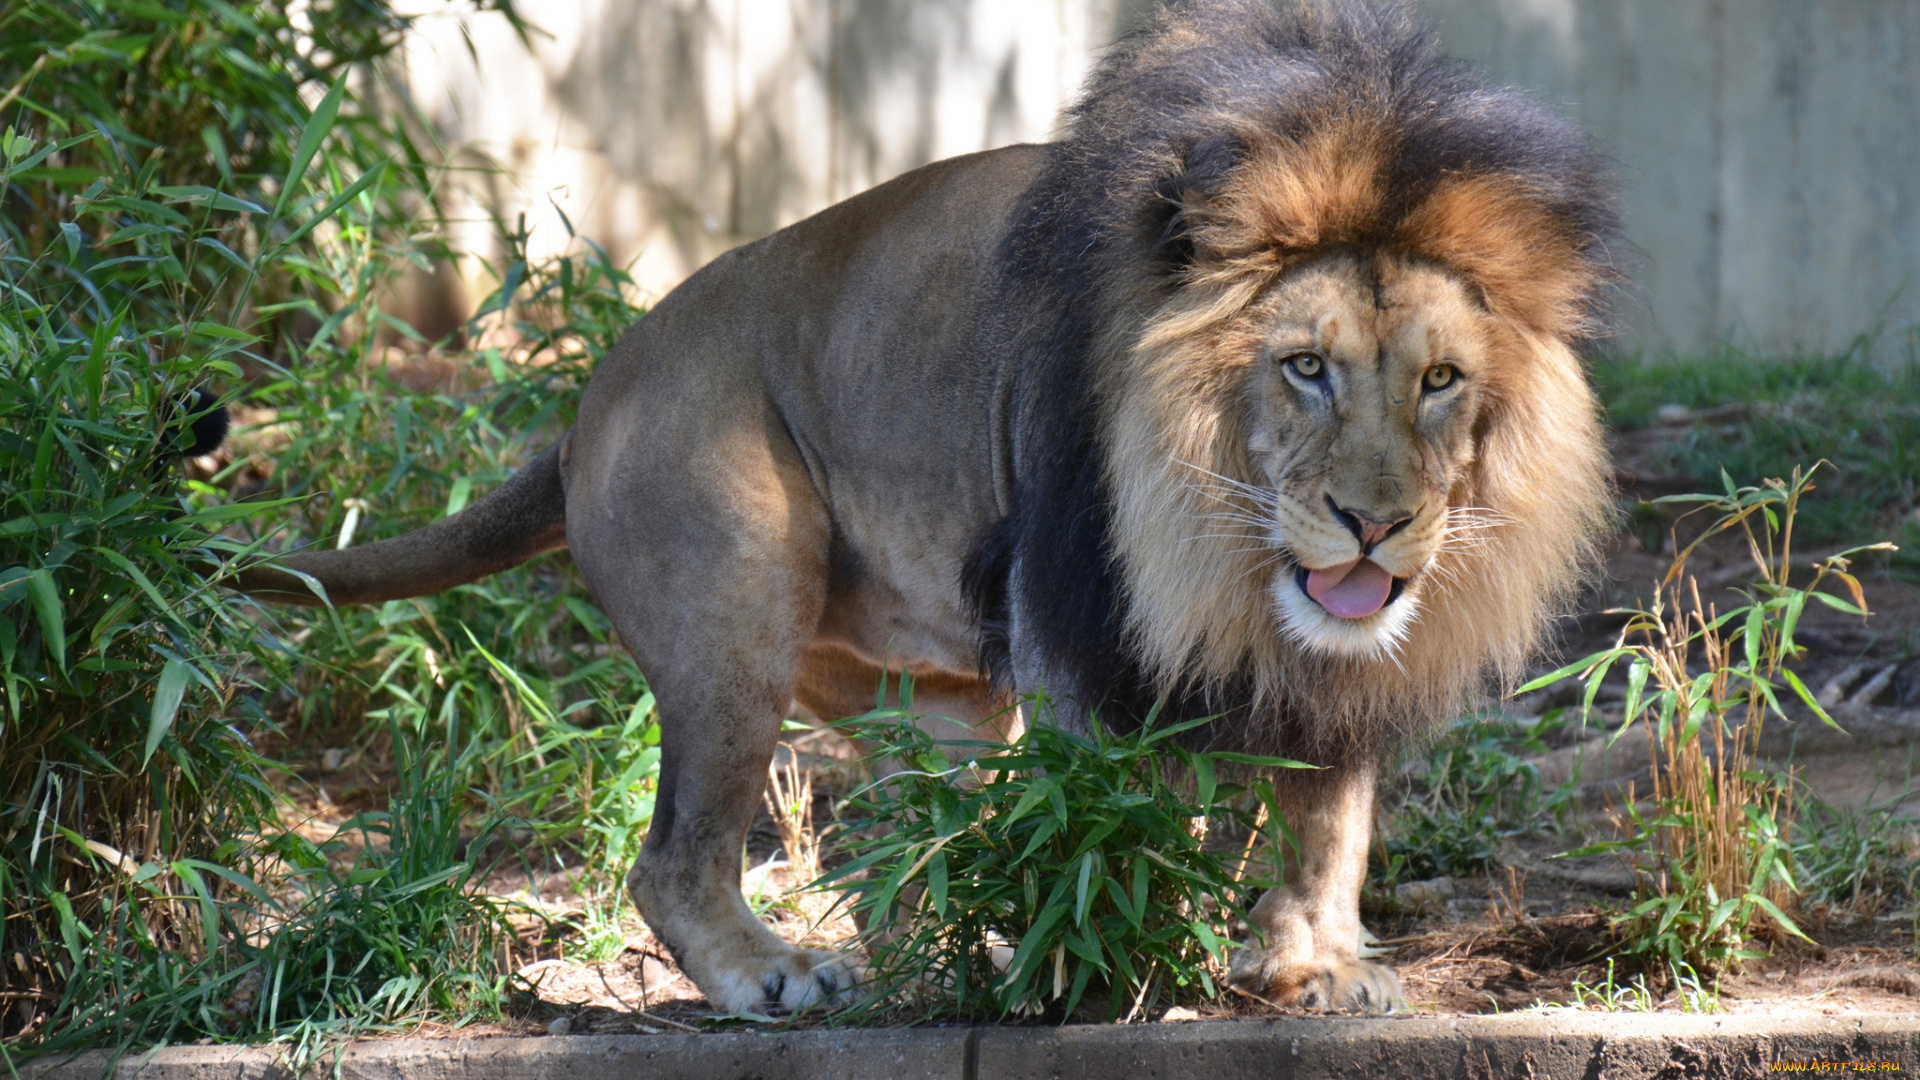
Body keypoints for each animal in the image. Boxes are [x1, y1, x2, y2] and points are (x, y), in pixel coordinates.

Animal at [240, 0, 1620, 1006]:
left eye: (1440, 381)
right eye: (1306, 367)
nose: (1375, 524)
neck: (1225, 551)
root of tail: (589, 403)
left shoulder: (1324, 671)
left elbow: (1332, 814)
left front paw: (1316, 965)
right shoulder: (1072, 618)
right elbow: (1117, 818)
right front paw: (1122, 960)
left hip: (931, 694)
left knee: (903, 845)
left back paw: (943, 961)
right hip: (739, 596)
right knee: (676, 857)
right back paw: (781, 978)